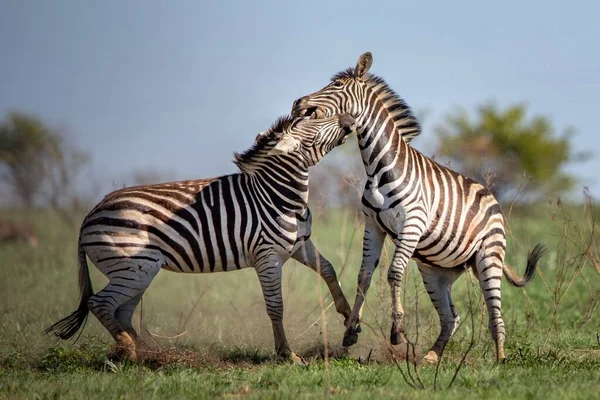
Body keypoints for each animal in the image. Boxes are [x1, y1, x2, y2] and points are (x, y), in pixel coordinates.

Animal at [48, 114, 356, 364]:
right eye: (314, 121)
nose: (350, 119)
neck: (281, 197)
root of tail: (91, 214)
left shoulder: (299, 246)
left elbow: (329, 270)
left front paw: (348, 318)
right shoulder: (267, 257)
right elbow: (276, 307)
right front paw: (287, 354)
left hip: (138, 271)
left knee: (120, 311)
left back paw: (146, 352)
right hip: (132, 268)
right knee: (99, 304)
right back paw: (132, 350)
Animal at [292, 53, 548, 362]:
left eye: (338, 85)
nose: (298, 103)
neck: (378, 168)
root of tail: (492, 198)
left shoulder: (411, 224)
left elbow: (394, 272)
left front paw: (397, 332)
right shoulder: (373, 225)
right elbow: (364, 276)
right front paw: (351, 331)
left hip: (489, 257)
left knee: (495, 316)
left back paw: (500, 360)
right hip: (436, 271)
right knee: (451, 317)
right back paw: (431, 357)